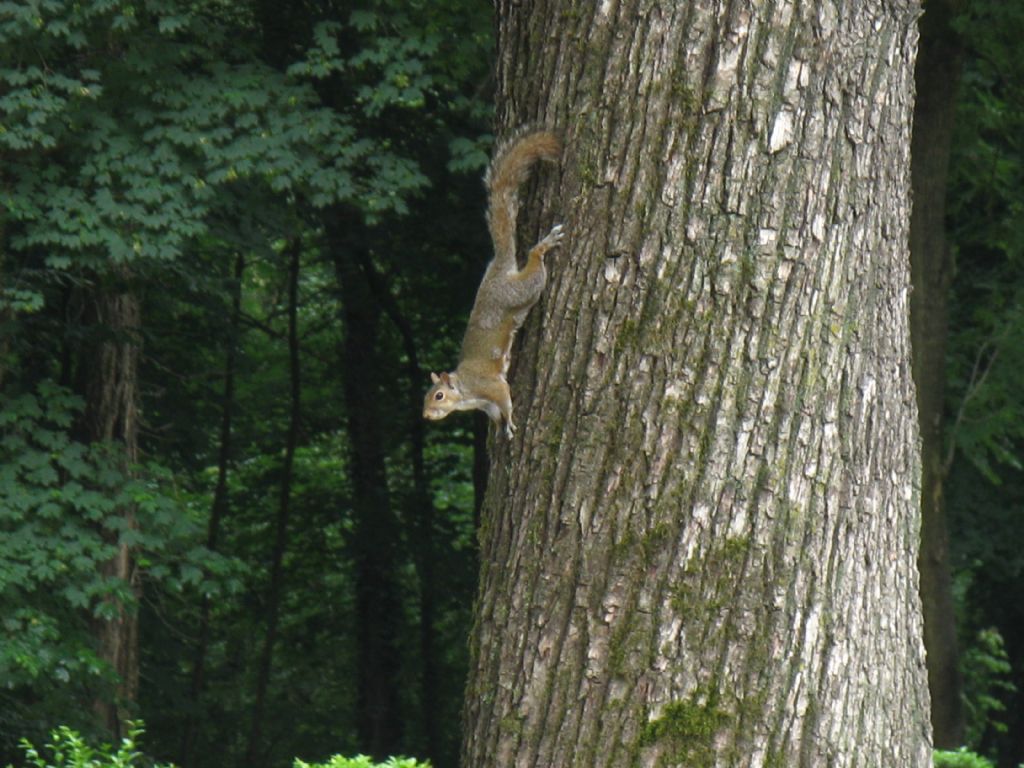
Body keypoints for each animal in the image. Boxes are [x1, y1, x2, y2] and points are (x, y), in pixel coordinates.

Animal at [423, 128, 569, 436]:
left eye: (439, 395)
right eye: (425, 396)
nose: (426, 416)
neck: (465, 392)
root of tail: (499, 267)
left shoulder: (492, 386)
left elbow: (505, 399)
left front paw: (511, 421)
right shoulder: (485, 404)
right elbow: (496, 412)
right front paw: (503, 426)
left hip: (523, 290)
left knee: (534, 265)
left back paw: (543, 246)